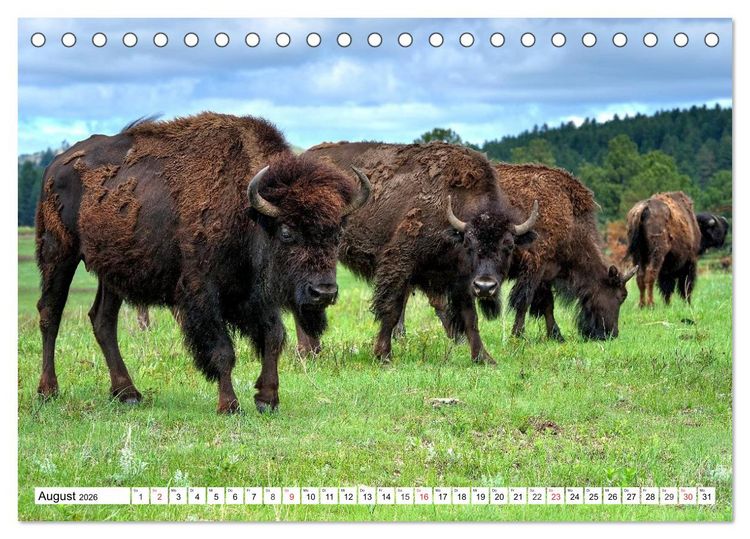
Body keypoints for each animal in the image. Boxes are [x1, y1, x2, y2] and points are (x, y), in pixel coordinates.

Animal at [35, 113, 370, 413]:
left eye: (337, 233)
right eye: (287, 232)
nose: (323, 292)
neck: (248, 213)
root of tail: (56, 165)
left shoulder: (256, 294)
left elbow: (273, 337)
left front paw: (267, 399)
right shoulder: (203, 291)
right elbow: (223, 350)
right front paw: (229, 405)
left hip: (112, 269)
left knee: (103, 320)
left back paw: (128, 393)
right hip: (58, 252)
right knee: (50, 312)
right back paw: (48, 391)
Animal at [295, 142, 539, 364]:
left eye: (508, 245)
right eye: (469, 243)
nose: (486, 286)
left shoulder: (462, 279)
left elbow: (470, 317)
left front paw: (484, 358)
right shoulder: (400, 262)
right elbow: (391, 309)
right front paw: (383, 355)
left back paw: (312, 351)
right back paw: (308, 353)